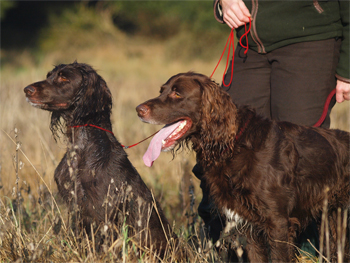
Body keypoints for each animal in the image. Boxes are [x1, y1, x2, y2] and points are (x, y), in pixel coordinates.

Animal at [137, 71, 350, 262]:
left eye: (177, 93)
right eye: (162, 91)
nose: (139, 110)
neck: (233, 144)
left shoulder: (278, 223)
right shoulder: (249, 225)